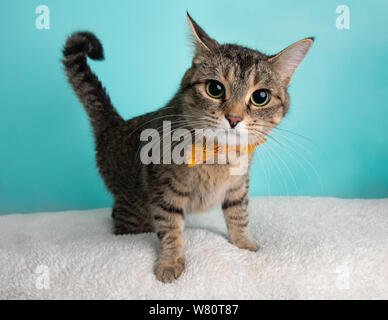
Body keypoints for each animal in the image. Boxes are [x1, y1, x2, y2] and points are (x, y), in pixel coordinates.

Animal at [62, 12, 314, 282]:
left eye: (260, 97)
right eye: (215, 88)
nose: (234, 118)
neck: (219, 155)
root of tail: (115, 125)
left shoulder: (238, 186)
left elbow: (239, 215)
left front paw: (245, 244)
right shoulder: (163, 186)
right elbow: (170, 226)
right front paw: (169, 262)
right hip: (133, 207)